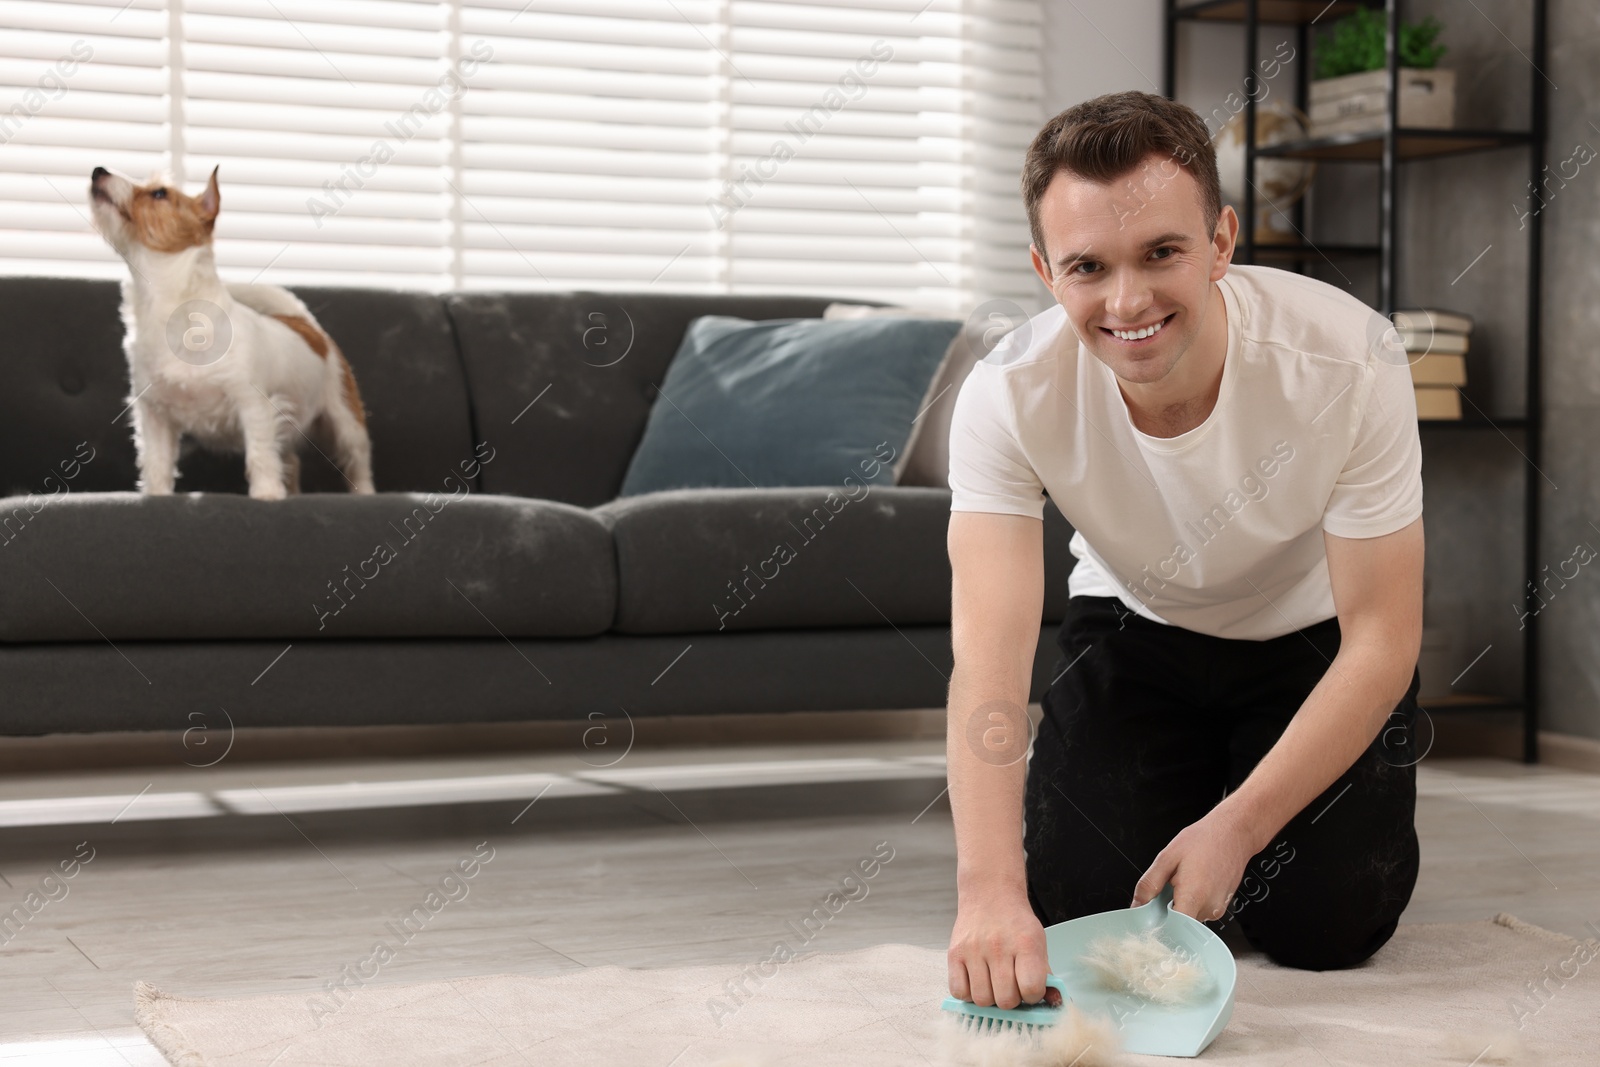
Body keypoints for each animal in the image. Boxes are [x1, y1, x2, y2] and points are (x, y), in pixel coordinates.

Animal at [90, 167, 374, 502]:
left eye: (159, 194)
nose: (98, 171)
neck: (168, 307)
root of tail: (306, 325)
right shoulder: (155, 415)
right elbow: (157, 461)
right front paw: (157, 494)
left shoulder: (253, 406)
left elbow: (260, 454)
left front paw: (266, 493)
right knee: (290, 459)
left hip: (345, 421)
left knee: (356, 460)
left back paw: (365, 493)